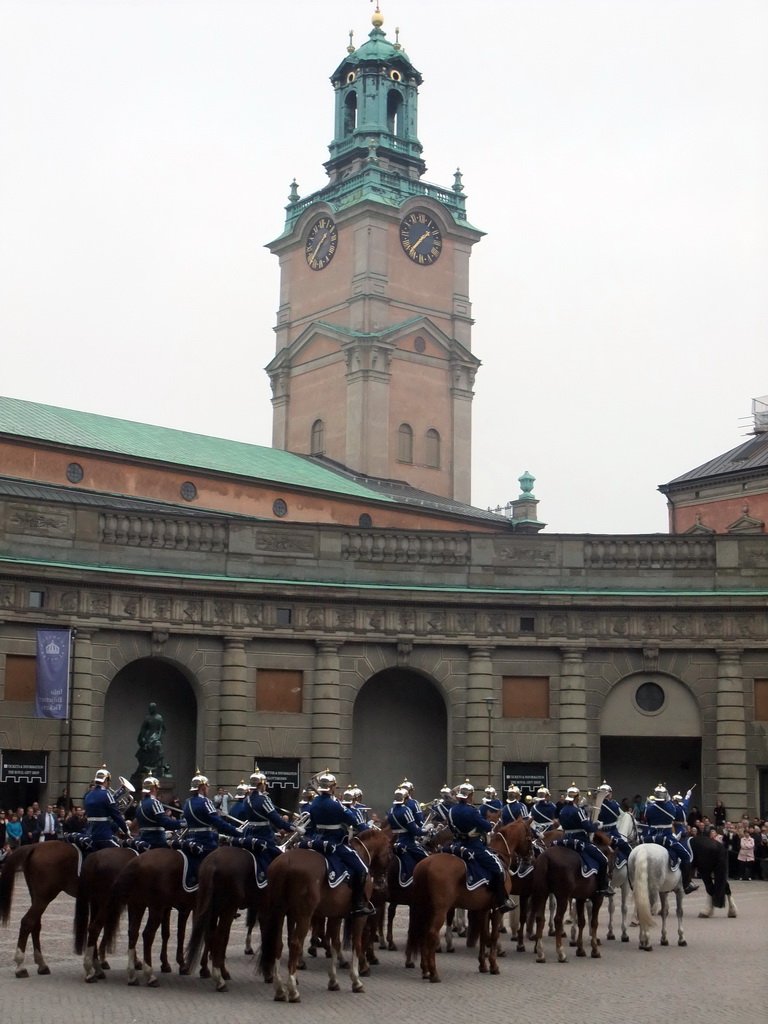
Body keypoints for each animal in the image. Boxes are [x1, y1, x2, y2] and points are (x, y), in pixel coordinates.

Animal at [0, 843, 78, 978]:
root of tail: (35, 846)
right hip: (44, 897)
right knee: (28, 922)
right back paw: (21, 966)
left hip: (36, 896)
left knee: (35, 924)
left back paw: (41, 965)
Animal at [72, 843, 139, 978]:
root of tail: (95, 857)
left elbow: (130, 930)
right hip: (105, 903)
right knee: (95, 927)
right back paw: (95, 969)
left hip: (97, 903)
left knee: (93, 927)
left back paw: (95, 964)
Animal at [102, 847, 196, 983]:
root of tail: (138, 860)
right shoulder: (185, 907)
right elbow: (183, 935)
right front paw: (185, 966)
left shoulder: (172, 907)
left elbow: (169, 934)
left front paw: (167, 964)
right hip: (154, 907)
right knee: (147, 934)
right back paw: (149, 975)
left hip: (139, 904)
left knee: (133, 932)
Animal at [260, 823, 393, 999]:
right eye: (390, 852)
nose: (383, 883)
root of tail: (285, 862)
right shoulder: (359, 917)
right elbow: (357, 944)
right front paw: (356, 980)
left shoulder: (335, 915)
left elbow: (336, 943)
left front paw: (333, 980)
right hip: (303, 915)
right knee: (295, 944)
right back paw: (293, 990)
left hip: (280, 912)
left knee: (277, 944)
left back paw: (280, 989)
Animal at [409, 815, 536, 983]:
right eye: (530, 837)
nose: (531, 860)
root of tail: (426, 864)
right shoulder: (497, 909)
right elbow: (493, 935)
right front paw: (494, 966)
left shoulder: (483, 909)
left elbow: (484, 935)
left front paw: (483, 965)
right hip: (440, 910)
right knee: (432, 934)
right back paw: (434, 973)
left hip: (425, 907)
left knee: (423, 933)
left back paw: (425, 970)